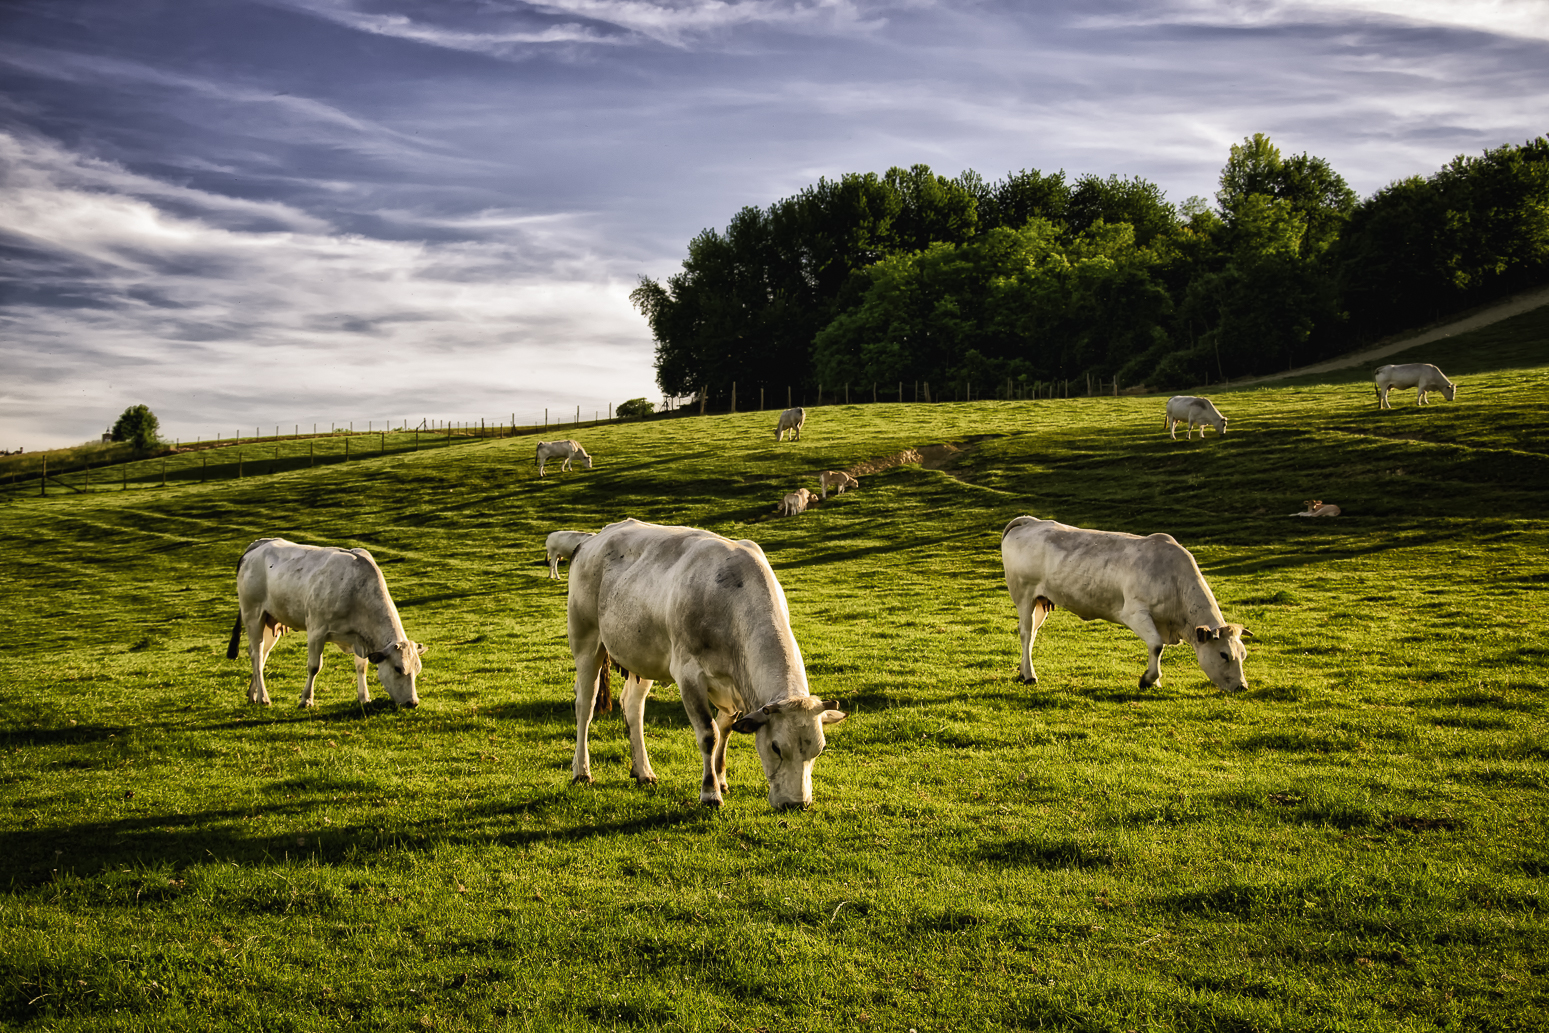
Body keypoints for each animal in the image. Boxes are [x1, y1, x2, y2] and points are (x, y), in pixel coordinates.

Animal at [224, 538, 424, 706]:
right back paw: (263, 698)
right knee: (256, 654)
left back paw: (253, 694)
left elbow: (362, 666)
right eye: (398, 669)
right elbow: (314, 667)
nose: (412, 702)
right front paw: (306, 700)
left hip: (270, 619)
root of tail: (260, 544)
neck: (356, 592)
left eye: (417, 669)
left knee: (262, 654)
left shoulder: (360, 636)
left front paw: (364, 697)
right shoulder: (316, 631)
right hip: (252, 614)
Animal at [566, 520, 842, 811]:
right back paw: (582, 771)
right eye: (776, 747)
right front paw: (710, 793)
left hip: (643, 655)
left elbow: (725, 729)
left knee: (632, 705)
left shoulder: (732, 686)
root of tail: (594, 538)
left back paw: (643, 771)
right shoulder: (689, 674)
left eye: (819, 750)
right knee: (585, 704)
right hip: (586, 639)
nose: (796, 804)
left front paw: (720, 779)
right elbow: (709, 733)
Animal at [997, 517, 1251, 693]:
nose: (1242, 687)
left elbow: (1157, 647)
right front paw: (1148, 680)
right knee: (1026, 633)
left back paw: (1023, 671)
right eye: (1224, 655)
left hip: (1041, 601)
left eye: (1243, 655)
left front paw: (1155, 681)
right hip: (1024, 595)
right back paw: (1029, 675)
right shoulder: (1134, 613)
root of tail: (1032, 521)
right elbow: (1156, 645)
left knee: (1032, 634)